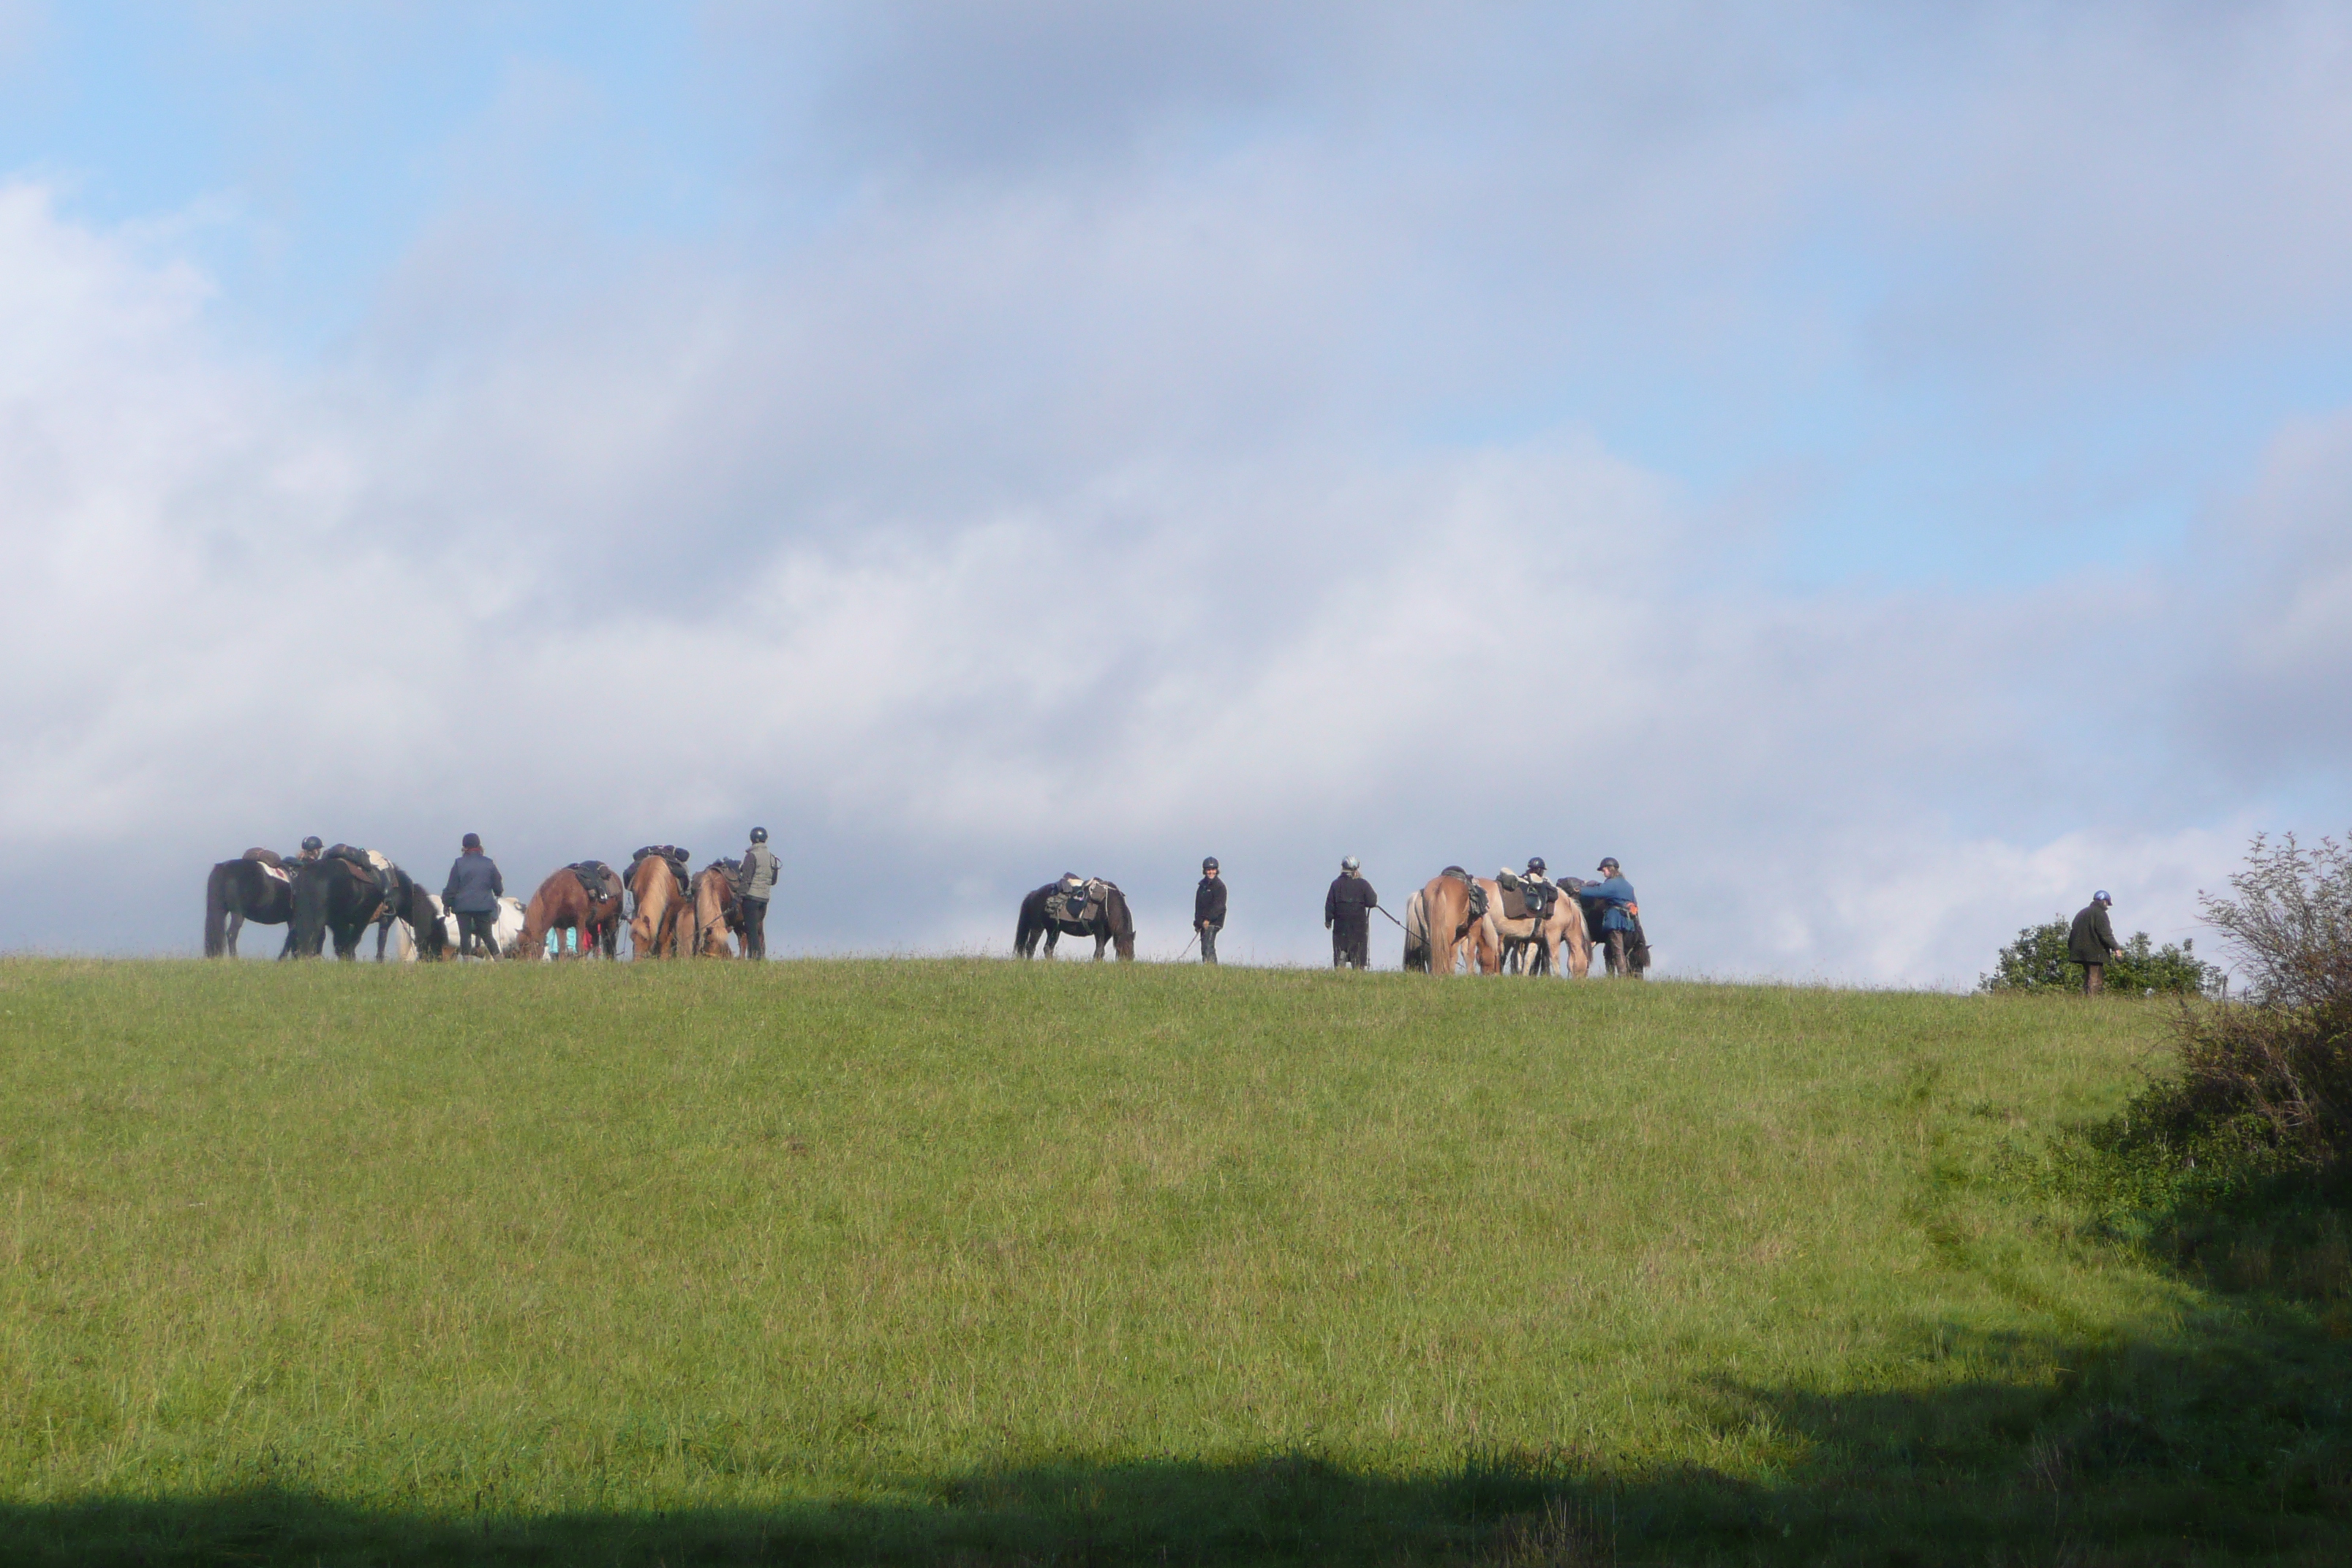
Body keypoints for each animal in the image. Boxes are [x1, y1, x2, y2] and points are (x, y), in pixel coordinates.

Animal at [630, 851, 691, 963]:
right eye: (632, 938)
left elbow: (662, 937)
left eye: (645, 939)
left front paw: (663, 959)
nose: (637, 961)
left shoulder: (668, 913)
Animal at [1016, 879, 1134, 963]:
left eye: (1132, 953)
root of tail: (1034, 894)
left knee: (1048, 948)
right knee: (1031, 946)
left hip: (1054, 930)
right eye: (1122, 953)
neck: (1107, 903)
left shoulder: (1108, 934)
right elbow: (1099, 950)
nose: (1126, 965)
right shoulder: (1098, 929)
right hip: (1037, 926)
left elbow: (1101, 951)